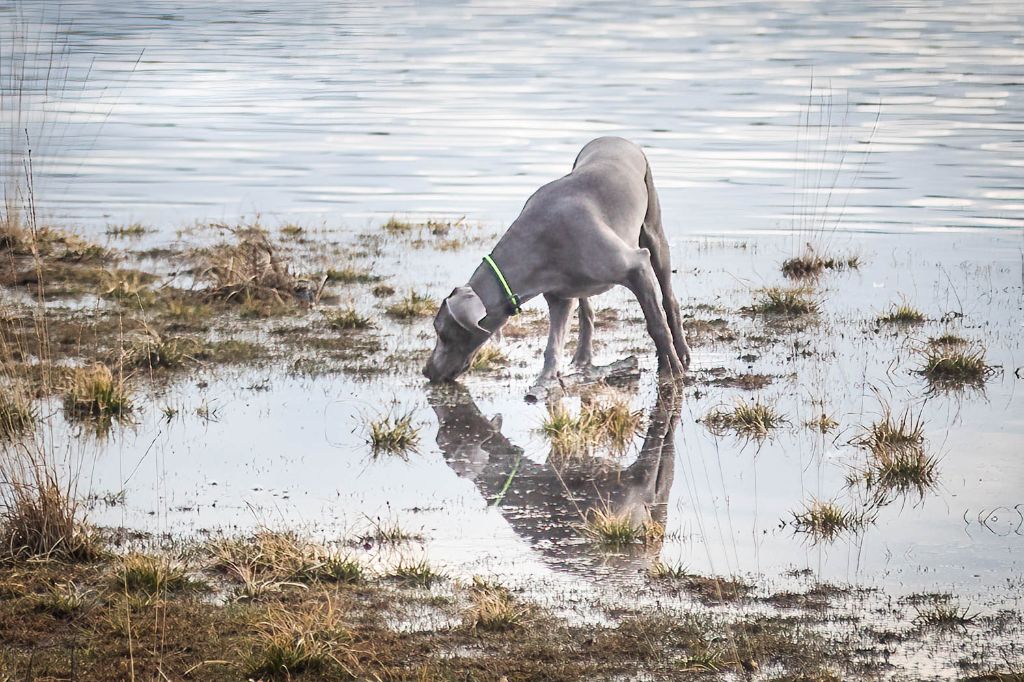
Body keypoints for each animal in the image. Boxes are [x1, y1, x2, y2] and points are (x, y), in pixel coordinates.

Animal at [419, 135, 692, 385]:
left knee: (668, 298)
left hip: (653, 230)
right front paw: (546, 382)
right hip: (581, 287)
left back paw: (681, 352)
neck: (539, 244)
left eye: (442, 333)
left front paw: (671, 368)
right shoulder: (559, 298)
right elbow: (553, 347)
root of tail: (615, 137)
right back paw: (582, 358)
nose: (427, 371)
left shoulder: (636, 266)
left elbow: (656, 324)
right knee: (586, 312)